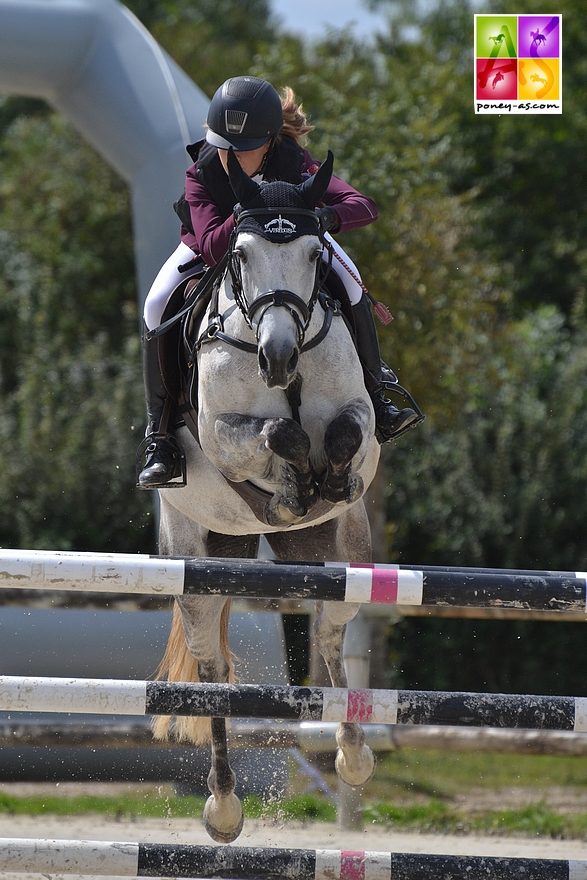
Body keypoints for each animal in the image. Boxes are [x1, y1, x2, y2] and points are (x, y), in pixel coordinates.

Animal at [152, 153, 382, 844]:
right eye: (243, 252)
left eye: (313, 252)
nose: (277, 359)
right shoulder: (222, 435)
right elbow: (277, 434)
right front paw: (290, 483)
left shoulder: (360, 419)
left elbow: (346, 434)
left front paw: (328, 480)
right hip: (195, 562)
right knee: (212, 676)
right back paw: (224, 807)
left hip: (337, 558)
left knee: (331, 635)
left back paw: (352, 754)